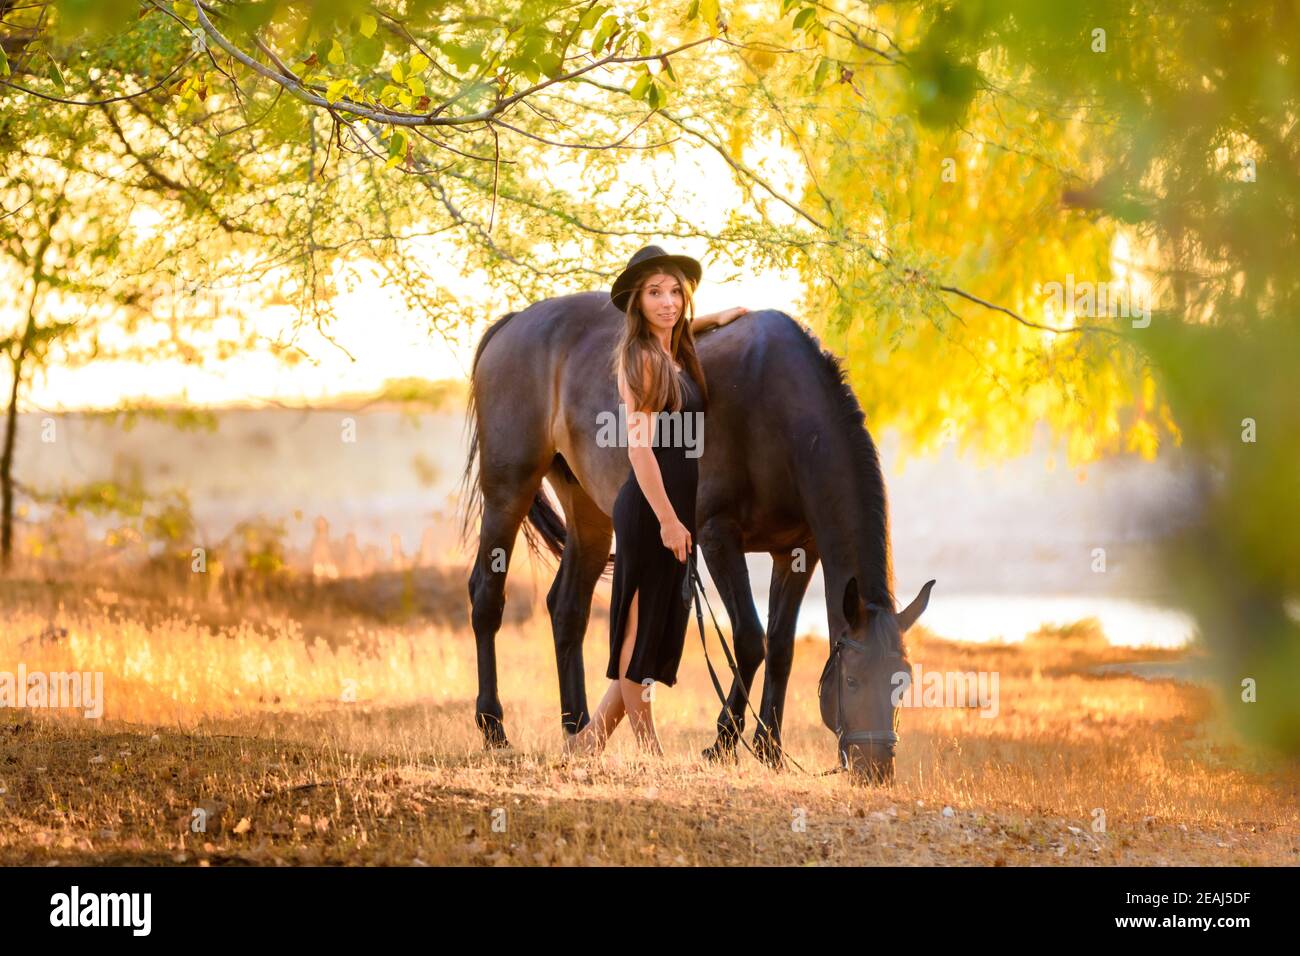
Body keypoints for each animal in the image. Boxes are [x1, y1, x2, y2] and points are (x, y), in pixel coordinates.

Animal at [460, 291, 935, 785]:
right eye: (853, 680)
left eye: (903, 682)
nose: (876, 769)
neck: (777, 407)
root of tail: (516, 321)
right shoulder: (716, 536)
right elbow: (750, 639)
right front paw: (723, 743)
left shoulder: (798, 551)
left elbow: (781, 648)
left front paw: (769, 748)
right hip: (508, 489)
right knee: (487, 596)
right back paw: (494, 727)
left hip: (586, 510)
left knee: (567, 608)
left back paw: (578, 729)